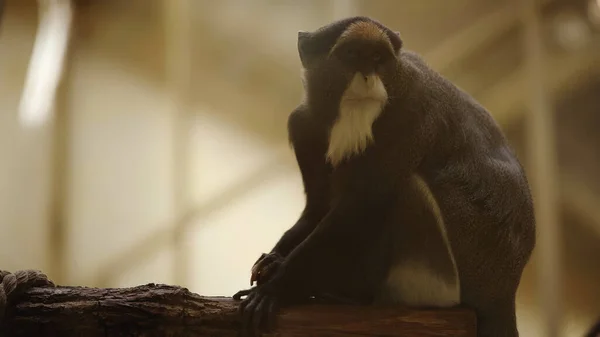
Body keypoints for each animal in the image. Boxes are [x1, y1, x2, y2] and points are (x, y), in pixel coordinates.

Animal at [232, 15, 536, 336]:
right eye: (352, 54)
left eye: (378, 58)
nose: (367, 76)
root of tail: (503, 294)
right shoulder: (304, 125)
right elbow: (317, 207)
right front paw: (273, 260)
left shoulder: (413, 117)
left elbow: (356, 210)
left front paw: (275, 289)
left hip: (443, 278)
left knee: (408, 189)